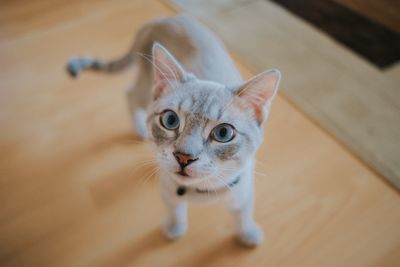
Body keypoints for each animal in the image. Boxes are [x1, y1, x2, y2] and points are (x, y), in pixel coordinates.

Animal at [66, 14, 282, 247]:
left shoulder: (243, 191)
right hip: (146, 89)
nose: (184, 157)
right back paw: (139, 128)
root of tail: (161, 19)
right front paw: (174, 230)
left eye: (223, 133)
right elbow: (175, 211)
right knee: (130, 94)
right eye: (170, 120)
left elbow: (243, 214)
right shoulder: (168, 191)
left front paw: (248, 235)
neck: (201, 191)